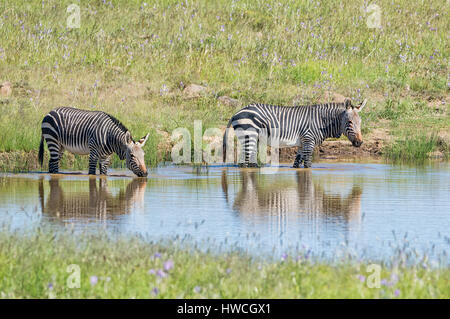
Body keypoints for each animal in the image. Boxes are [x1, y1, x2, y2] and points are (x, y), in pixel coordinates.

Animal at [223, 99, 368, 169]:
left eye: (360, 122)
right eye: (349, 122)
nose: (359, 142)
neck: (321, 121)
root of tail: (237, 112)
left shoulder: (302, 143)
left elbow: (297, 164)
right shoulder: (309, 141)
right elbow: (308, 165)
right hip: (250, 135)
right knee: (244, 161)